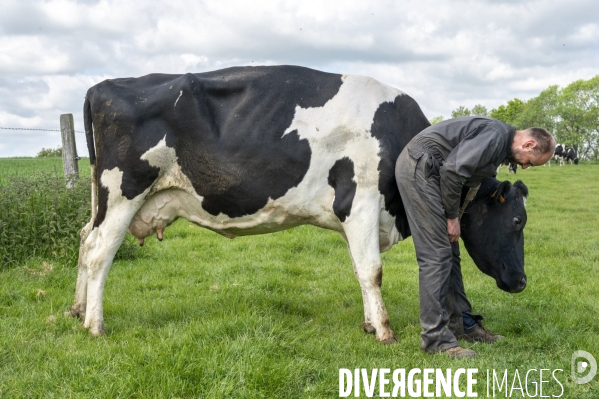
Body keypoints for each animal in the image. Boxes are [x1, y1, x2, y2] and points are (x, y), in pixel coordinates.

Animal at [69, 65, 528, 340]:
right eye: (517, 222)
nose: (522, 282)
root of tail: (103, 86)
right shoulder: (360, 203)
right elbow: (373, 271)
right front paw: (384, 331)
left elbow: (360, 271)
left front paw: (368, 324)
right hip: (123, 191)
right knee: (99, 251)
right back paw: (95, 324)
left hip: (103, 199)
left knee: (84, 240)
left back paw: (76, 309)